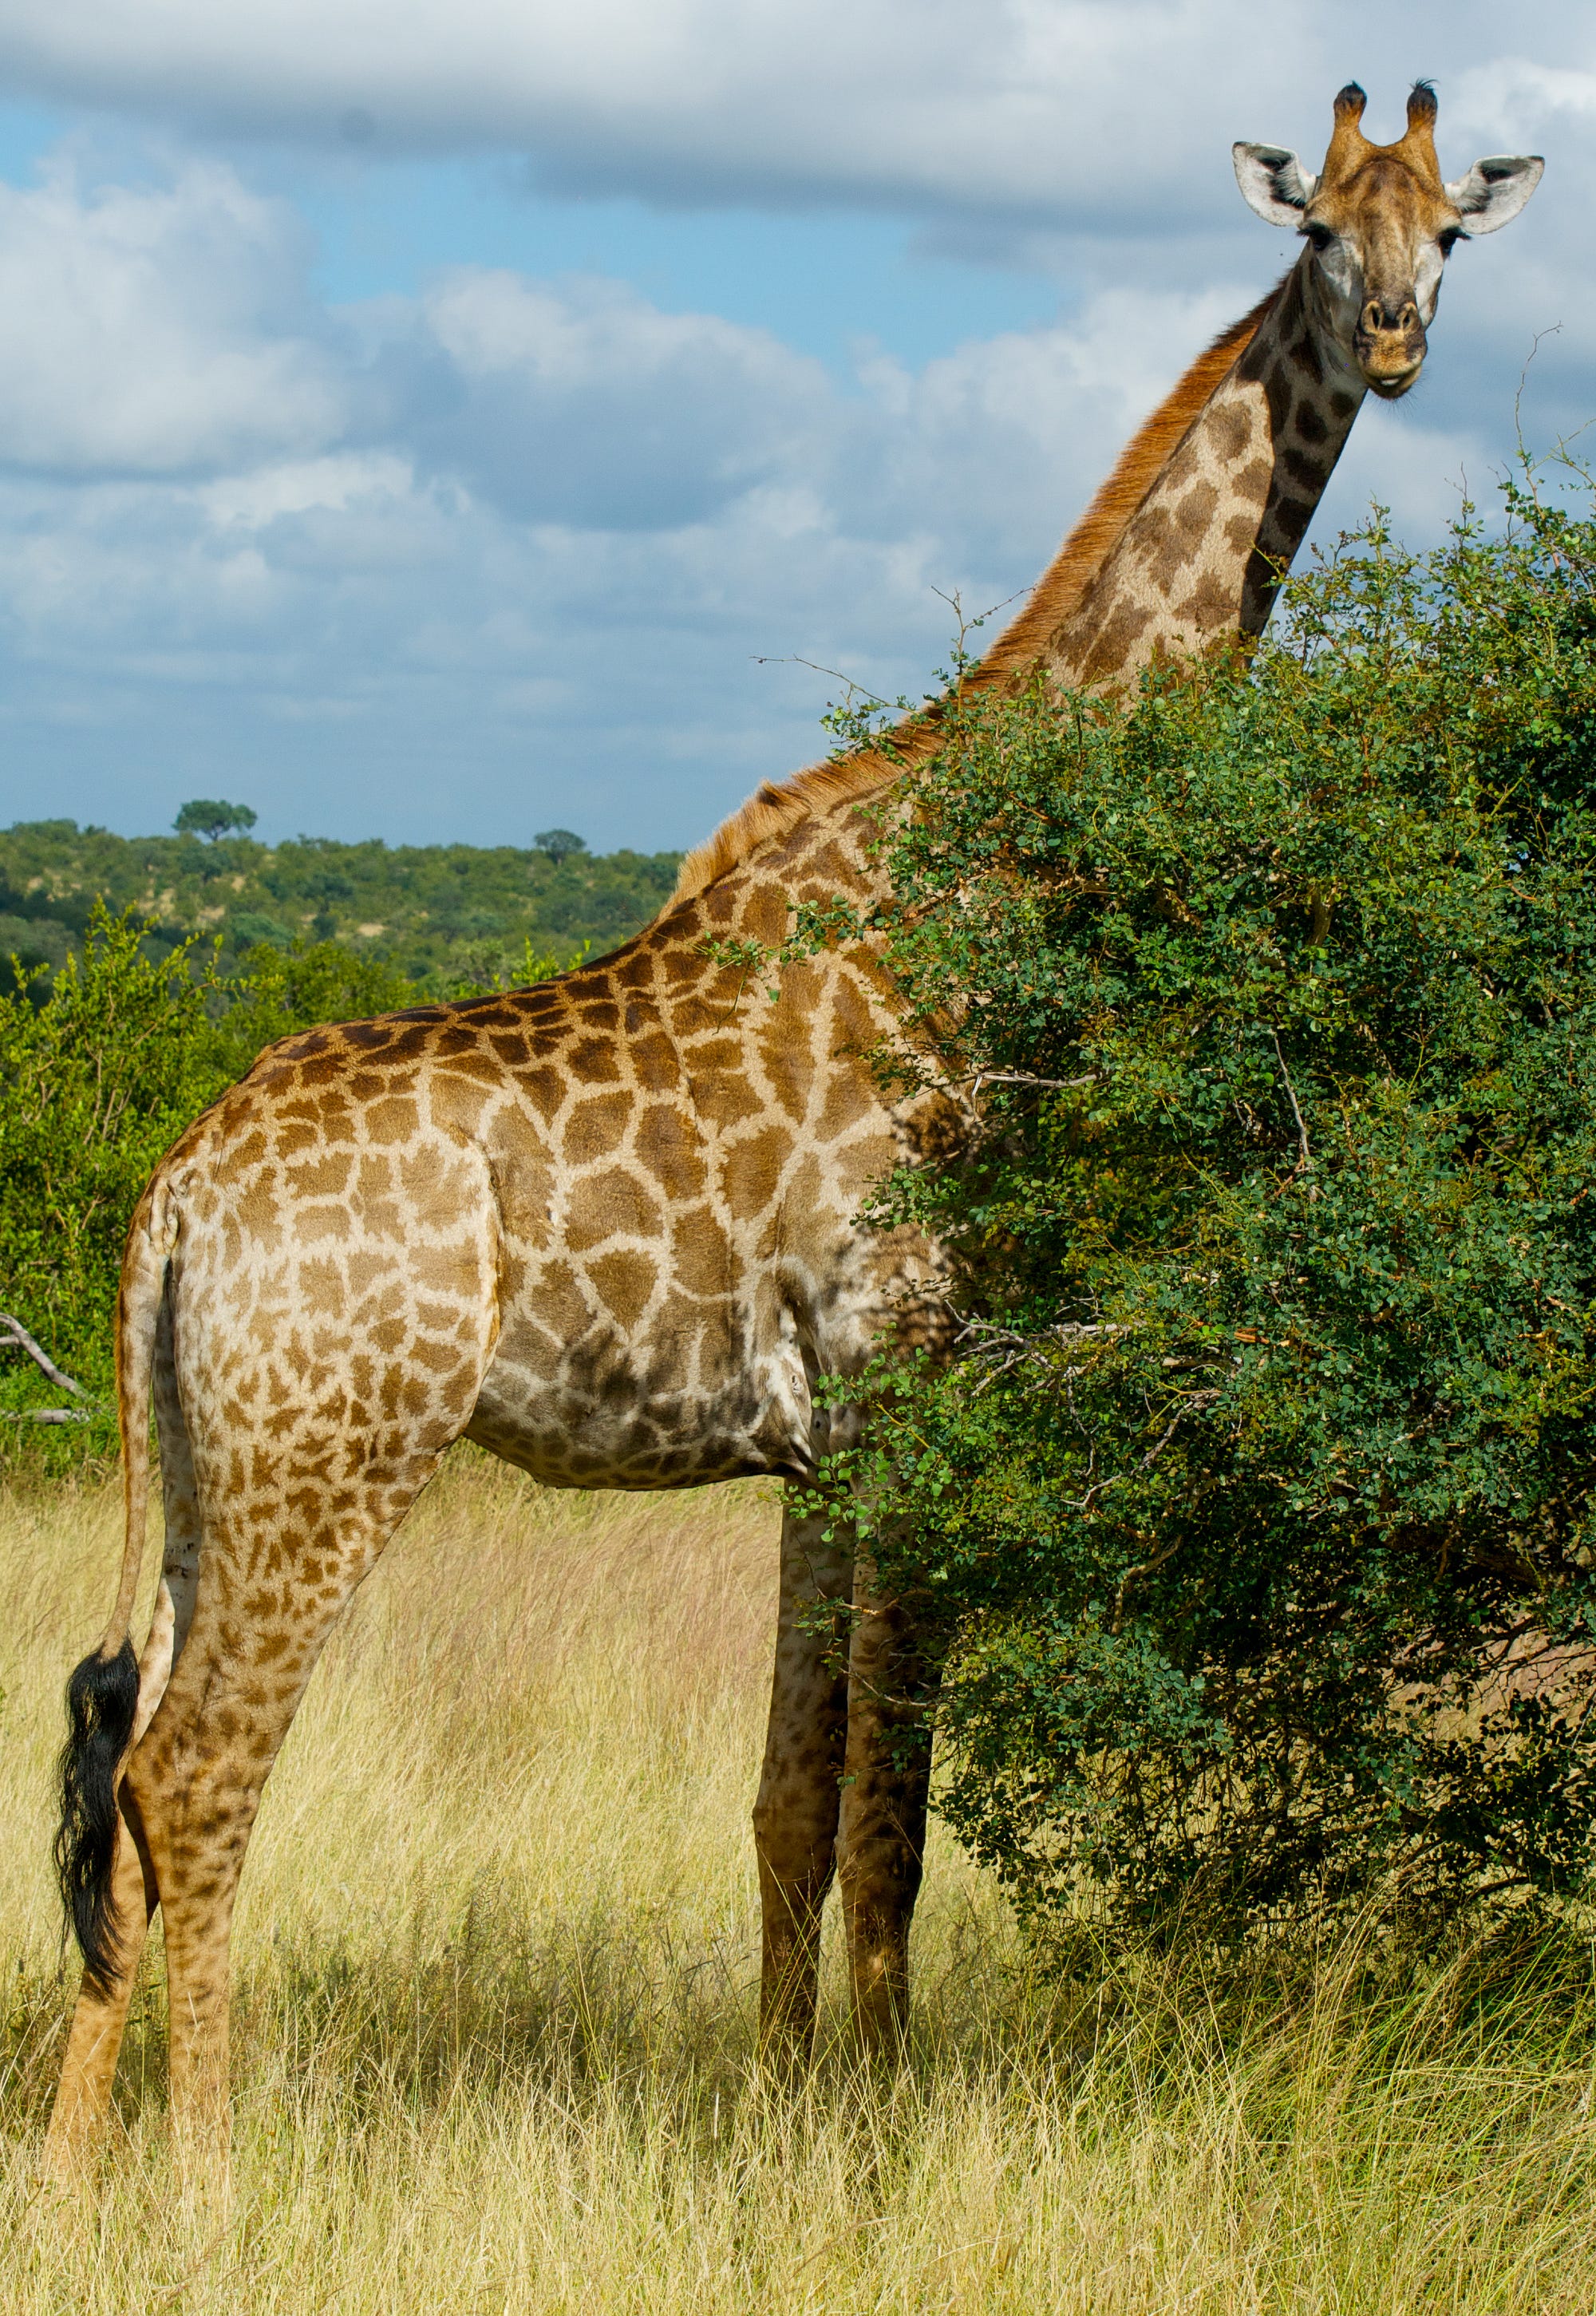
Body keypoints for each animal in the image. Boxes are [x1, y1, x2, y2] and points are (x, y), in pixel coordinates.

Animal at [43, 83, 1540, 2179]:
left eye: (1450, 232)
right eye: (1324, 226)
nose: (1397, 339)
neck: (997, 865)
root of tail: (174, 1196)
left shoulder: (816, 1441)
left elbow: (785, 1798)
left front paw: (779, 2103)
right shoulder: (925, 1371)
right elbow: (894, 1808)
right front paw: (886, 2117)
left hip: (202, 1460)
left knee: (116, 1756)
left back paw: (70, 2173)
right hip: (335, 1454)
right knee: (192, 1776)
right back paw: (206, 2179)